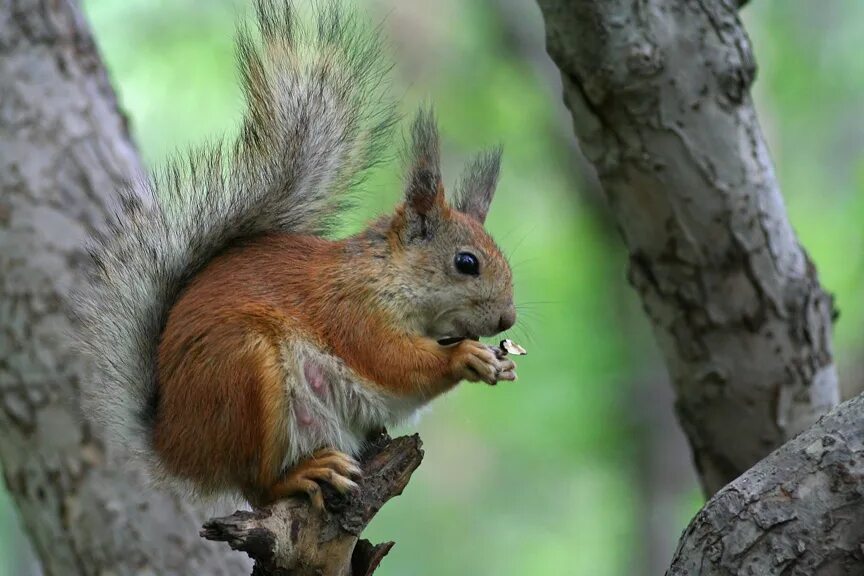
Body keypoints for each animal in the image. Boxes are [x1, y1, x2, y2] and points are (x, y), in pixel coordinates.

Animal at [74, 0, 516, 506]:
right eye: (467, 263)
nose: (508, 320)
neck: (386, 274)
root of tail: (176, 446)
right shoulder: (351, 312)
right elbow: (393, 362)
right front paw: (465, 357)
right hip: (242, 372)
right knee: (259, 487)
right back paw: (305, 473)